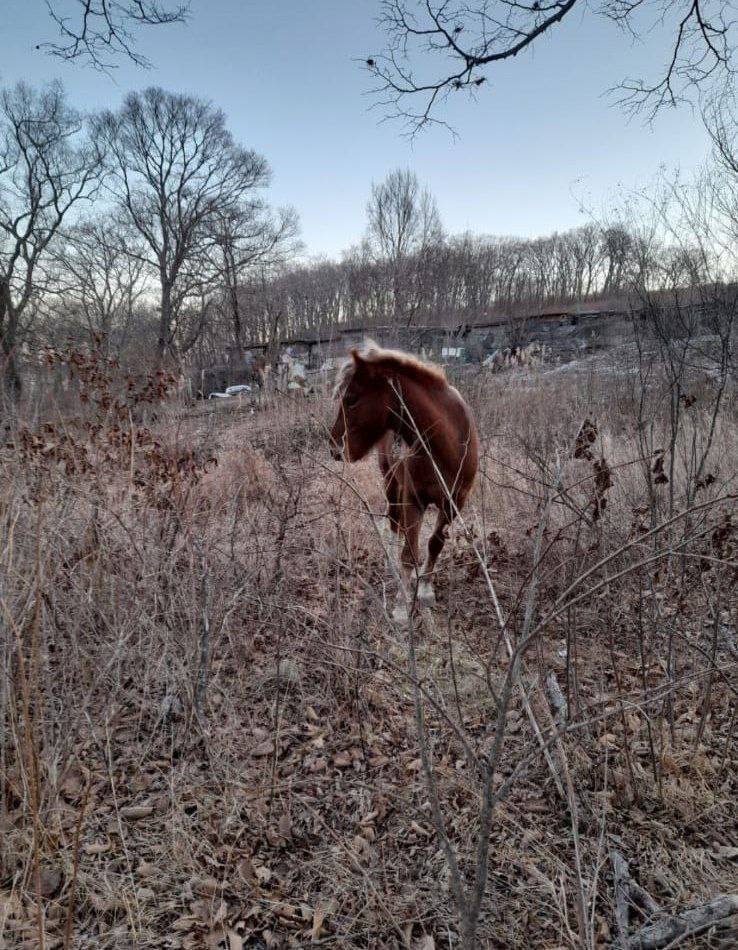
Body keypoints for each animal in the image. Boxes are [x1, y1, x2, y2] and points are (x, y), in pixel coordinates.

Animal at [330, 342, 478, 624]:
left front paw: (425, 590)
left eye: (352, 398)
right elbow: (408, 554)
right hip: (390, 482)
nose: (334, 447)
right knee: (392, 522)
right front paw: (401, 606)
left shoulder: (454, 502)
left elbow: (434, 543)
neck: (446, 444)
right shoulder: (413, 500)